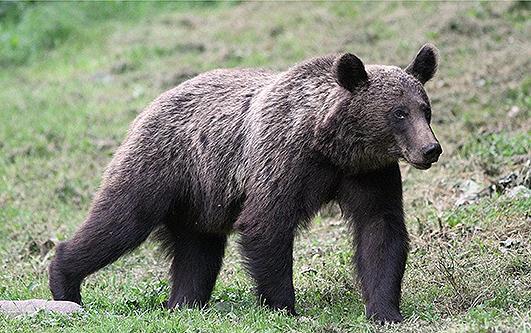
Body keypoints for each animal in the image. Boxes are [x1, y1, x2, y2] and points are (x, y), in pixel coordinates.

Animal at [50, 43, 442, 322]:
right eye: (398, 113)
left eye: (425, 109)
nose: (431, 149)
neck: (332, 146)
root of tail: (152, 103)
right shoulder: (283, 160)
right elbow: (266, 224)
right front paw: (285, 307)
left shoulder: (370, 174)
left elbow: (380, 230)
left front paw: (385, 311)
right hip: (163, 165)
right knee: (120, 221)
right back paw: (64, 281)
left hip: (201, 199)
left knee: (197, 253)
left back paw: (184, 303)